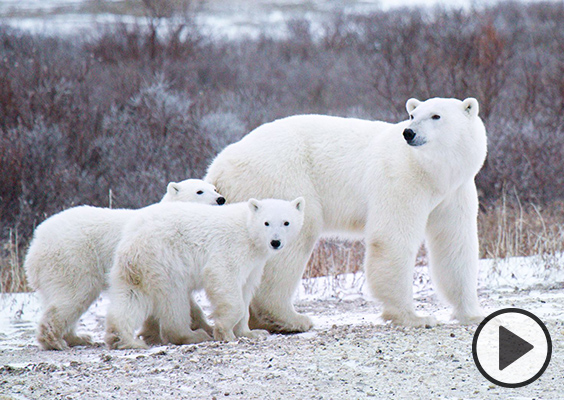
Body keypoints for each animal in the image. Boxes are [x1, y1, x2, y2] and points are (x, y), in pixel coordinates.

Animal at [205, 97, 486, 332]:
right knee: (293, 239)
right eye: (412, 115)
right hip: (279, 179)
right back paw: (290, 318)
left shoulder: (455, 192)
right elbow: (392, 238)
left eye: (436, 115)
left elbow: (455, 244)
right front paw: (415, 317)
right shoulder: (401, 180)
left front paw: (472, 313)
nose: (409, 132)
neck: (432, 173)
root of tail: (218, 169)